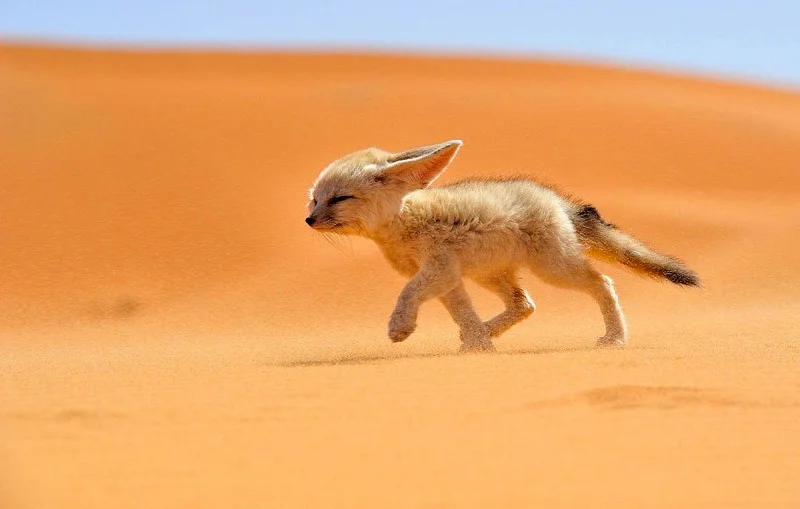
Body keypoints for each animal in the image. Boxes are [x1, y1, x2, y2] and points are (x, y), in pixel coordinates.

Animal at [305, 139, 699, 353]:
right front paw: (478, 345)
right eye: (314, 199)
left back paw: (616, 337)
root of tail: (556, 200)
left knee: (603, 282)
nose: (309, 220)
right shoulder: (449, 277)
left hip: (554, 269)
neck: (404, 221)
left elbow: (407, 293)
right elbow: (462, 312)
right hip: (491, 275)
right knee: (525, 304)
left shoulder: (438, 269)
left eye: (339, 199)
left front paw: (400, 327)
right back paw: (487, 331)